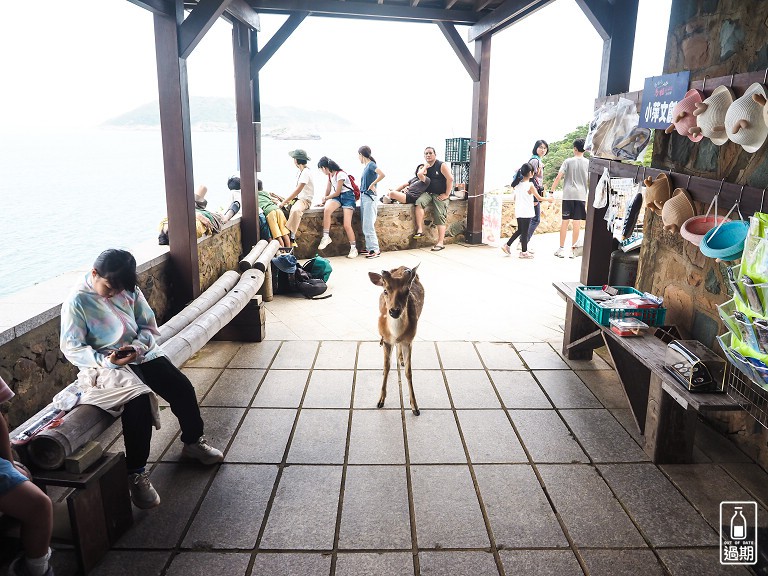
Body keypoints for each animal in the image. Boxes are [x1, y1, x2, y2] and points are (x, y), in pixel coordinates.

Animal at [368, 266, 424, 414]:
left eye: (407, 291)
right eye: (385, 290)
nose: (394, 311)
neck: (395, 333)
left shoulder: (409, 341)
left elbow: (409, 372)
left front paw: (415, 407)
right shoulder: (386, 340)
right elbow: (387, 367)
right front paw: (380, 401)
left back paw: (401, 359)